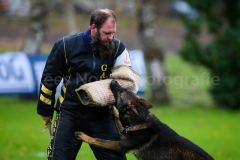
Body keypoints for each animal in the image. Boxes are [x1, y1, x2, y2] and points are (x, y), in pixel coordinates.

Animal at [75, 80, 214, 159]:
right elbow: (118, 119)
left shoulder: (119, 146)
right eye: (124, 89)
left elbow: (99, 140)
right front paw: (113, 110)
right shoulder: (125, 130)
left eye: (122, 92)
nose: (113, 80)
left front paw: (84, 136)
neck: (141, 120)